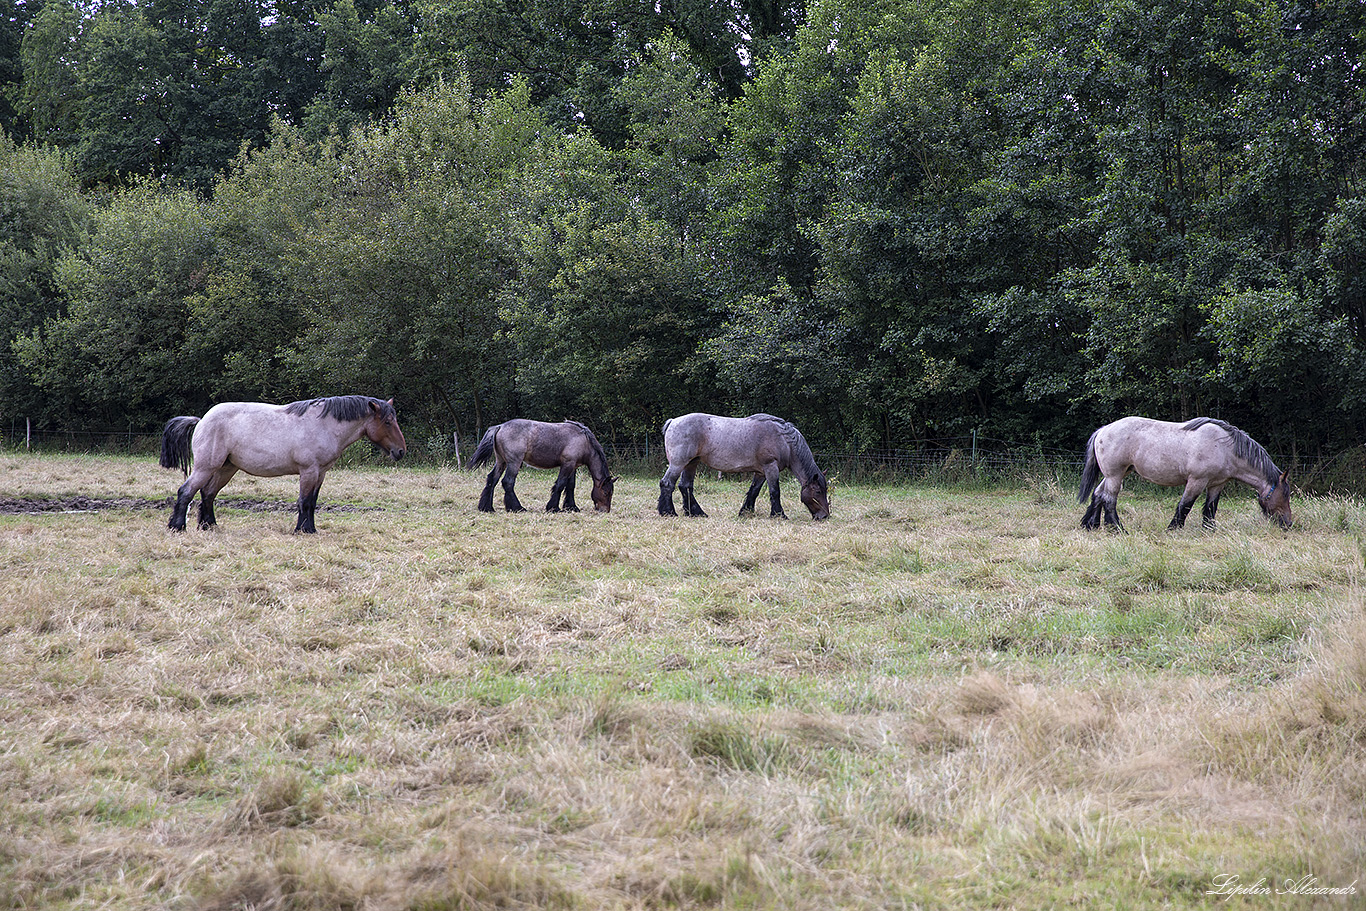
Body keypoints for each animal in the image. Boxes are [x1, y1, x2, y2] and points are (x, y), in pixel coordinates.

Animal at [158, 393, 404, 535]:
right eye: (388, 421)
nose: (401, 451)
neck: (324, 425)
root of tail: (201, 420)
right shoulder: (308, 471)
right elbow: (304, 501)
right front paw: (302, 530)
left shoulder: (321, 473)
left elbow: (313, 502)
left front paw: (311, 529)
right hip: (206, 467)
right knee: (186, 491)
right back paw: (177, 527)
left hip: (226, 468)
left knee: (208, 494)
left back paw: (209, 526)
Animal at [469, 420, 620, 513]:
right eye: (606, 493)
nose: (605, 510)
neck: (584, 440)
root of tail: (500, 426)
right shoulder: (567, 465)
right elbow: (560, 485)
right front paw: (553, 508)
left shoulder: (573, 466)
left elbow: (570, 486)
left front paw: (571, 507)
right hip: (514, 463)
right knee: (508, 482)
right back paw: (517, 508)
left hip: (501, 462)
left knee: (491, 480)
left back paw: (487, 508)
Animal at [655, 412, 825, 519]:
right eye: (817, 491)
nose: (824, 516)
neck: (784, 440)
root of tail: (673, 421)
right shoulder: (771, 467)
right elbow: (775, 491)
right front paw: (779, 515)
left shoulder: (761, 472)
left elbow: (754, 492)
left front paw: (746, 512)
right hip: (678, 463)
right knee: (667, 483)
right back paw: (669, 512)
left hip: (691, 463)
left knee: (685, 486)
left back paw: (697, 513)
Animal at [1076, 417, 1289, 529]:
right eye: (1286, 494)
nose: (1288, 523)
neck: (1225, 448)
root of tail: (1104, 429)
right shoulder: (1196, 481)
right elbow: (1185, 505)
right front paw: (1173, 528)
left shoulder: (1217, 484)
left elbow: (1210, 508)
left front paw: (1209, 530)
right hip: (1115, 475)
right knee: (1109, 499)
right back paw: (1117, 529)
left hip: (1117, 474)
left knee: (1098, 494)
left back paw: (1090, 524)